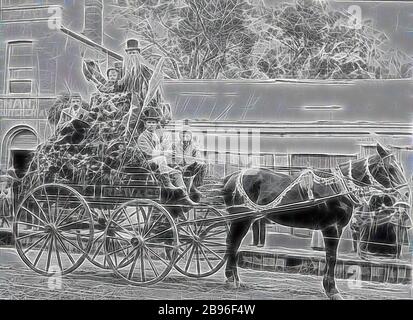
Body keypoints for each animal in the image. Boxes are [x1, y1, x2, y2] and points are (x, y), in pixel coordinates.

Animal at [220, 144, 408, 298]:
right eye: (390, 168)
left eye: (400, 166)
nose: (406, 193)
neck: (336, 187)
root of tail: (233, 176)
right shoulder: (331, 228)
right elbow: (331, 257)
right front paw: (332, 289)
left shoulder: (337, 228)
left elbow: (331, 257)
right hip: (242, 219)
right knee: (233, 243)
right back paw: (231, 279)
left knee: (234, 245)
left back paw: (234, 279)